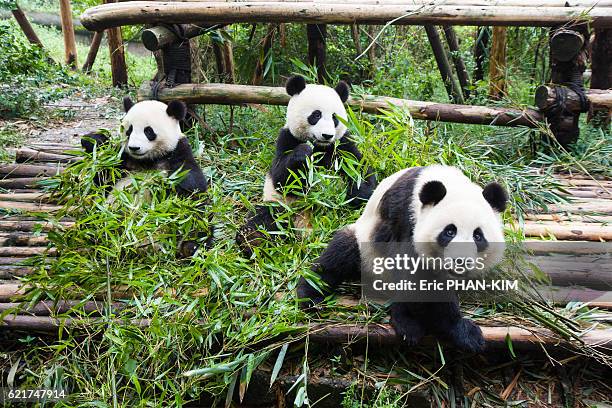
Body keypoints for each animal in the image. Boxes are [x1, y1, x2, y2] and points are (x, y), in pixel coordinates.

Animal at [235, 75, 376, 255]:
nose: (327, 135)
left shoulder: (342, 145)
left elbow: (360, 171)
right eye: (316, 115)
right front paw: (304, 152)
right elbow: (281, 178)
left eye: (334, 118)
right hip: (283, 208)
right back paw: (253, 239)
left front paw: (356, 192)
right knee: (265, 216)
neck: (320, 146)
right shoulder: (287, 138)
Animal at [296, 164, 506, 352]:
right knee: (339, 257)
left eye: (478, 235)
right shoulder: (405, 219)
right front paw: (455, 329)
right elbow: (414, 276)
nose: (460, 261)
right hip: (364, 246)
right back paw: (310, 296)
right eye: (449, 231)